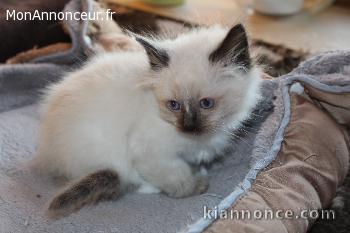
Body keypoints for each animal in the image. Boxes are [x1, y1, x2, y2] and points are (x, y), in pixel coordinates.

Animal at [34, 22, 262, 218]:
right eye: (174, 105)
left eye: (206, 103)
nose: (188, 126)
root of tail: (47, 151)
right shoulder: (150, 153)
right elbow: (178, 176)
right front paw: (197, 185)